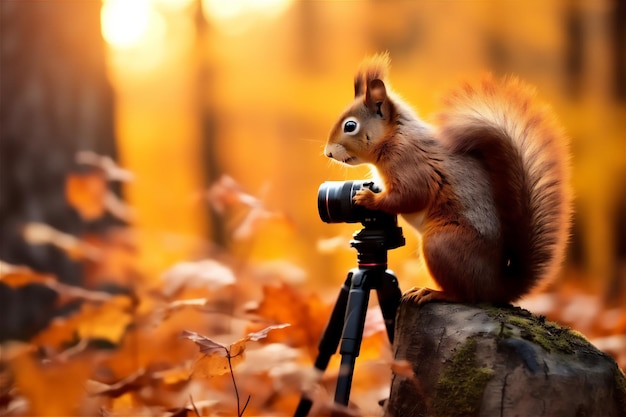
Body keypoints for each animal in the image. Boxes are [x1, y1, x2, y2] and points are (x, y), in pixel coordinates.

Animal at [324, 53, 568, 304]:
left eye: (350, 125)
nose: (328, 153)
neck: (394, 137)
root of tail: (496, 288)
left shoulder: (410, 163)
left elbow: (412, 196)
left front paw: (367, 199)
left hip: (441, 244)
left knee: (464, 295)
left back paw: (432, 292)